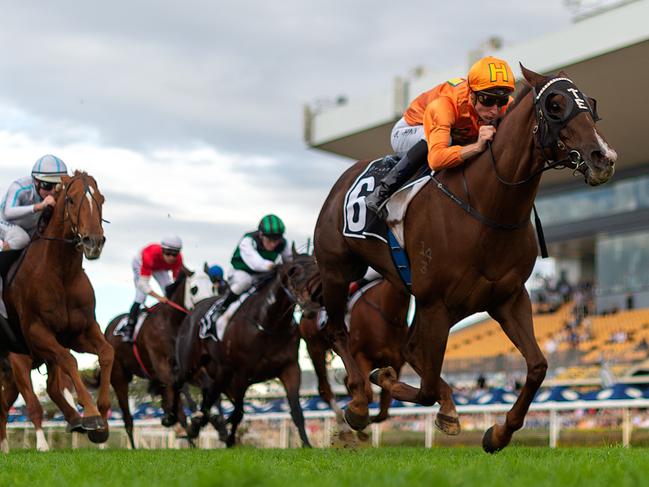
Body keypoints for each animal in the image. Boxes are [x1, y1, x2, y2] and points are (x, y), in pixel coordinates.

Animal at [3, 170, 112, 444]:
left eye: (101, 199)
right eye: (71, 200)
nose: (94, 242)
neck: (61, 273)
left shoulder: (79, 331)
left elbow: (107, 353)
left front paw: (101, 418)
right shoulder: (36, 333)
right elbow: (69, 361)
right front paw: (91, 415)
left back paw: (73, 418)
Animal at [104, 266, 215, 450]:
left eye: (213, 286)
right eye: (194, 289)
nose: (207, 307)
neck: (172, 324)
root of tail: (109, 329)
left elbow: (204, 385)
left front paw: (196, 421)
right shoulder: (163, 365)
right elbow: (178, 398)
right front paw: (184, 421)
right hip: (118, 377)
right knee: (128, 418)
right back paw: (134, 446)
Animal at [173, 250, 322, 448]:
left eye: (317, 272)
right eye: (293, 273)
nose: (312, 307)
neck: (270, 324)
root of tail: (194, 309)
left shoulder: (290, 368)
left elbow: (297, 411)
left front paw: (306, 445)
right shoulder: (242, 374)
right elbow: (238, 413)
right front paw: (230, 440)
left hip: (221, 373)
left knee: (210, 394)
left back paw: (199, 423)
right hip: (191, 365)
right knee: (179, 383)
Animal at [298, 278, 410, 430]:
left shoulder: (395, 364)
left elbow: (383, 411)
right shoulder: (360, 355)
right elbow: (368, 394)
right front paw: (356, 412)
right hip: (314, 346)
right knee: (324, 388)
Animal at [314, 66, 616, 454]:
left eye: (590, 104)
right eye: (554, 104)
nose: (603, 157)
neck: (487, 207)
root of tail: (344, 178)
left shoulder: (507, 297)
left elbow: (537, 366)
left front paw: (498, 433)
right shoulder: (436, 302)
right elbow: (425, 387)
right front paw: (381, 383)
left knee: (411, 347)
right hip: (338, 269)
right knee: (337, 329)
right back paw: (357, 400)